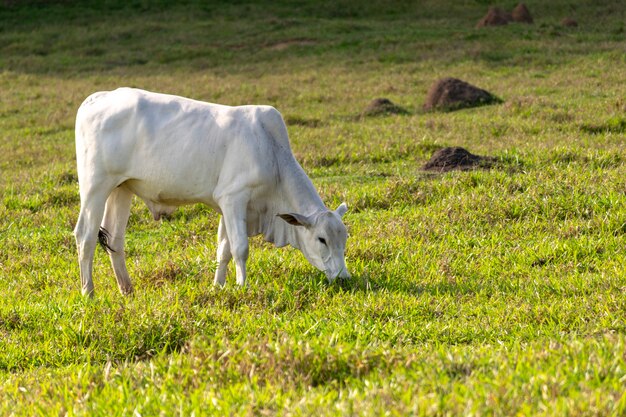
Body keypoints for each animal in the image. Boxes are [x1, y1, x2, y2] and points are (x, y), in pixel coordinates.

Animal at [73, 88, 348, 296]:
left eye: (344, 238)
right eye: (322, 239)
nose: (343, 277)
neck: (272, 154)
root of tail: (99, 97)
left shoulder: (228, 206)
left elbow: (224, 249)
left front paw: (219, 286)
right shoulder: (234, 198)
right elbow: (240, 248)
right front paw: (242, 286)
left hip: (122, 188)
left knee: (115, 239)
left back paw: (127, 290)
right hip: (96, 186)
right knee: (85, 236)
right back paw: (88, 293)